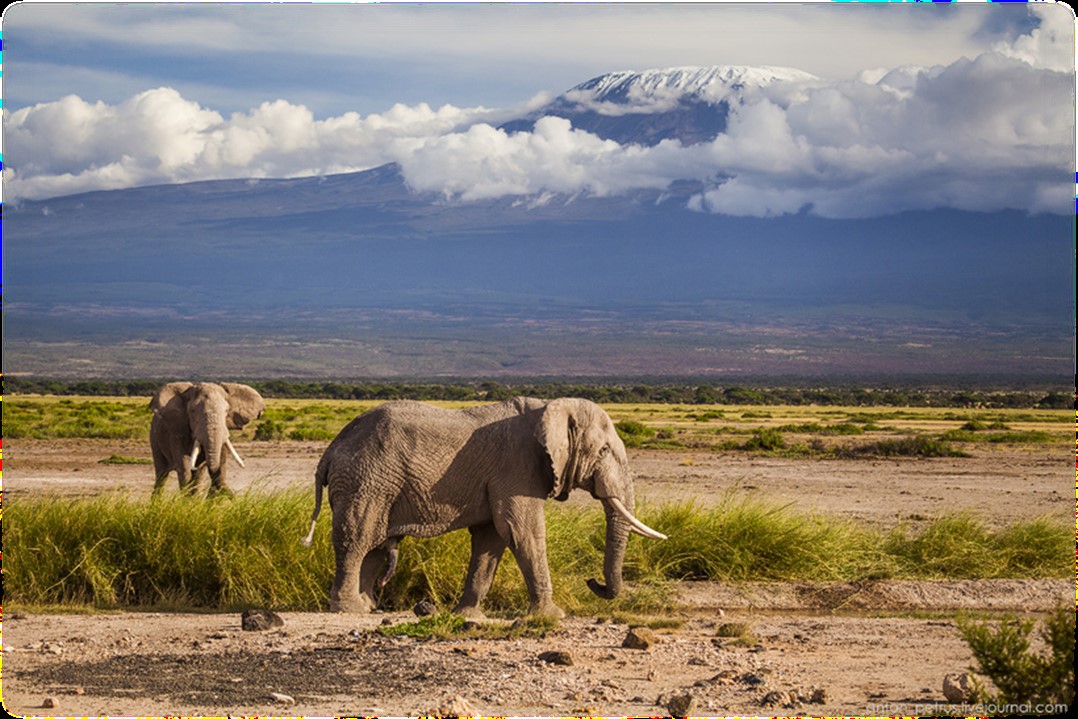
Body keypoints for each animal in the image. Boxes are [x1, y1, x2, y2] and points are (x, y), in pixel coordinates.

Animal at [303, 398, 668, 620]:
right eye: (603, 451)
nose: (592, 581)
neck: (548, 409)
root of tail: (330, 451)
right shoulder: (517, 468)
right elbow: (522, 532)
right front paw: (553, 616)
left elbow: (491, 539)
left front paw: (468, 615)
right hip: (365, 481)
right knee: (357, 539)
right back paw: (348, 609)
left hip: (374, 484)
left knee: (376, 546)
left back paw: (366, 607)